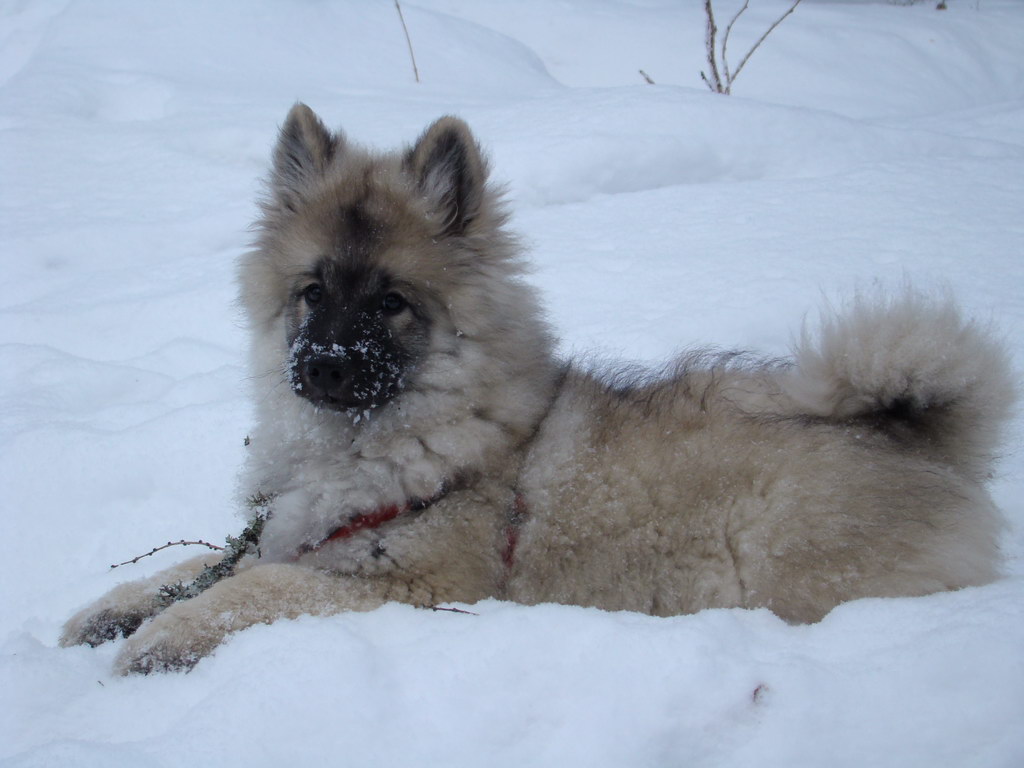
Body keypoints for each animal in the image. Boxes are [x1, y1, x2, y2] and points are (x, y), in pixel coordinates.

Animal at [59, 107, 1011, 671]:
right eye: (312, 291)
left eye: (391, 302)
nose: (322, 365)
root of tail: (922, 441)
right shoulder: (297, 536)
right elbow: (198, 565)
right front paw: (109, 613)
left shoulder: (410, 586)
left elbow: (248, 591)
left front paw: (163, 638)